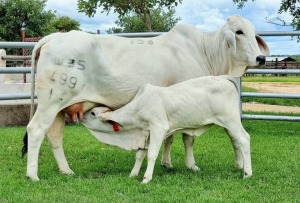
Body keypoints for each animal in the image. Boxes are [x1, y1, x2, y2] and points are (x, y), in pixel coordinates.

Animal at [82, 75, 251, 184]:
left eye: (93, 113)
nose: (80, 116)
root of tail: (224, 78)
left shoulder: (158, 128)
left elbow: (151, 154)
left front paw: (146, 178)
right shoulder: (146, 133)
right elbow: (140, 155)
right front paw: (133, 174)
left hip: (231, 120)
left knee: (244, 139)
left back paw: (247, 174)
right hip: (229, 124)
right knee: (235, 141)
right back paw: (239, 166)